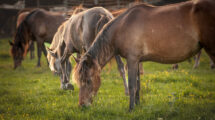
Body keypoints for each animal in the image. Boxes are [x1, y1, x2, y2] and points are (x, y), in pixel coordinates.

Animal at [72, 0, 215, 110]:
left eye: (88, 80)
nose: (82, 105)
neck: (122, 26)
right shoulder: (137, 60)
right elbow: (138, 85)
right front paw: (138, 105)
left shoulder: (132, 60)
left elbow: (132, 85)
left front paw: (130, 109)